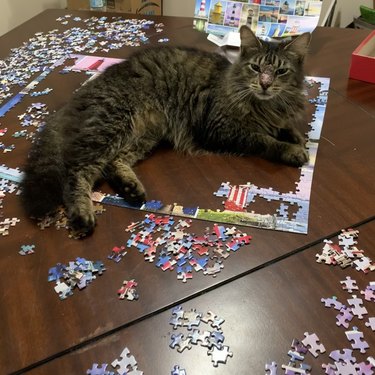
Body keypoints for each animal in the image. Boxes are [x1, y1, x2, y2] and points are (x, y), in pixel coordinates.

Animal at [21, 26, 314, 238]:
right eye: (256, 67)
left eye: (280, 71)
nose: (265, 84)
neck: (265, 105)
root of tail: (82, 92)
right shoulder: (222, 129)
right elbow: (264, 139)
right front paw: (292, 150)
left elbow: (284, 127)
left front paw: (297, 137)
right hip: (111, 126)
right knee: (77, 171)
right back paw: (83, 214)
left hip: (145, 133)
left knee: (113, 163)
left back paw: (130, 188)